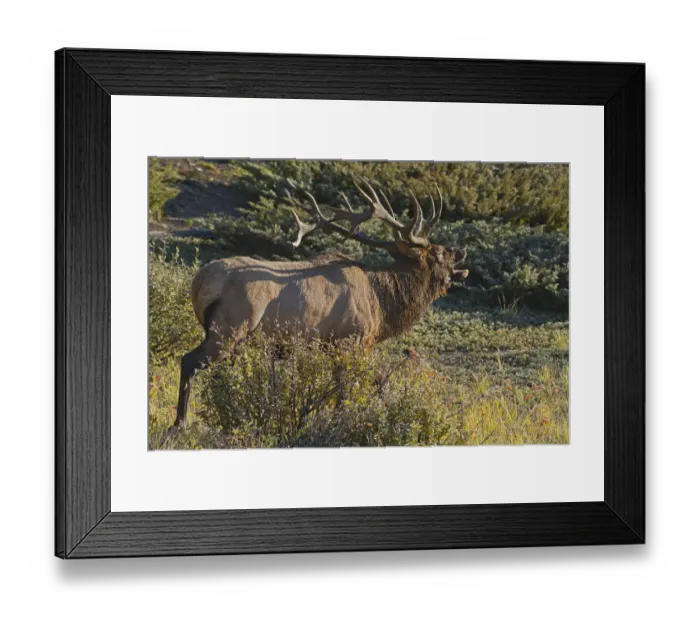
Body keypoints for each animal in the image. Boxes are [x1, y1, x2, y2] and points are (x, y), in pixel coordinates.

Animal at [173, 179, 469, 428]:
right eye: (440, 253)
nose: (460, 250)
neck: (382, 306)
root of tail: (199, 282)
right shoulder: (351, 339)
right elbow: (354, 389)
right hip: (229, 329)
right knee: (188, 361)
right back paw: (180, 423)